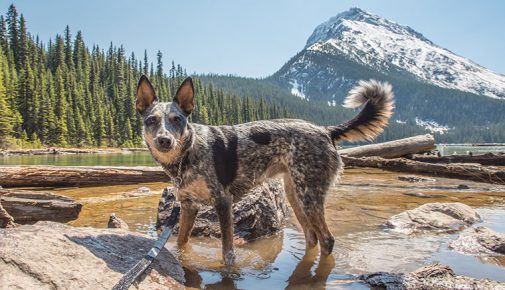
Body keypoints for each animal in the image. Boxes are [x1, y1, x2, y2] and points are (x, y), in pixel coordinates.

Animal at [135, 75, 394, 266]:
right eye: (151, 120)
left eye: (177, 119)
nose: (164, 140)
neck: (189, 153)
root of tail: (326, 130)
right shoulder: (189, 206)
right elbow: (181, 242)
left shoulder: (223, 202)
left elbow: (227, 252)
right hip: (295, 194)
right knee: (312, 237)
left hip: (308, 196)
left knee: (327, 240)